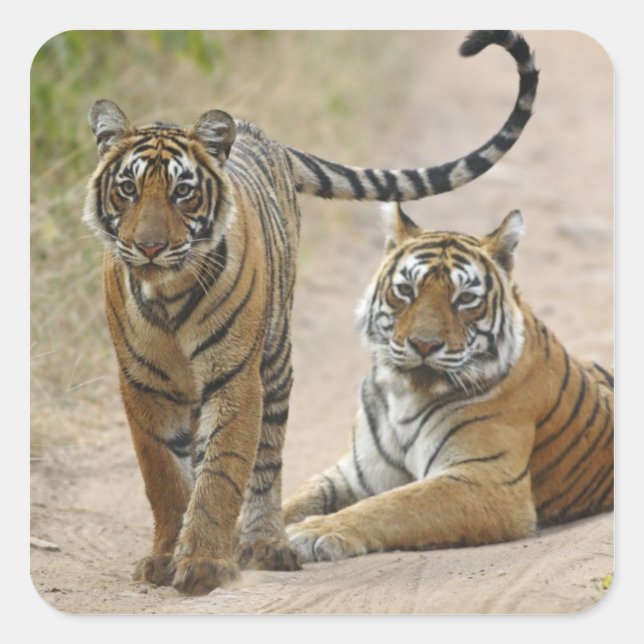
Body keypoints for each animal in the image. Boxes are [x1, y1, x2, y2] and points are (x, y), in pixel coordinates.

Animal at [83, 30, 538, 595]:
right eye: (127, 189)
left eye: (182, 193)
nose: (148, 247)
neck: (167, 291)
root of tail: (262, 135)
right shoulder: (141, 382)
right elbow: (164, 477)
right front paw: (165, 558)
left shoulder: (235, 376)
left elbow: (221, 472)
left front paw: (204, 563)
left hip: (275, 360)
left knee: (266, 461)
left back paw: (264, 545)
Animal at [283, 203, 614, 562]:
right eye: (406, 290)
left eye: (465, 298)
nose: (424, 344)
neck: (404, 395)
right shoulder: (355, 474)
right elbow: (293, 500)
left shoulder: (486, 478)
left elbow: (396, 505)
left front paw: (312, 532)